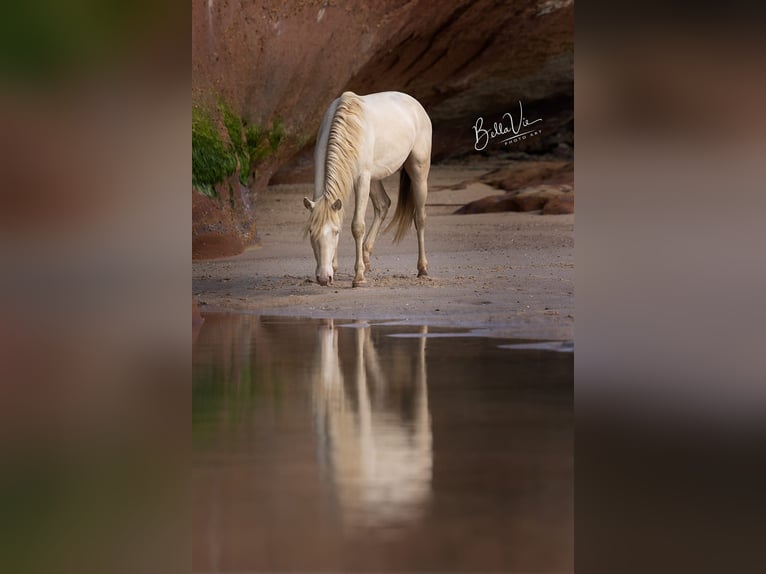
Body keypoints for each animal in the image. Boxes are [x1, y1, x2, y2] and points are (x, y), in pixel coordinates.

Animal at [303, 91, 432, 287]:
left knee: (420, 218)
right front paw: (335, 268)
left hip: (418, 170)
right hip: (375, 177)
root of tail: (415, 104)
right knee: (383, 204)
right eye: (311, 232)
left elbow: (357, 226)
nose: (324, 278)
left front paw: (359, 277)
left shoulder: (362, 179)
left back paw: (422, 268)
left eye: (336, 233)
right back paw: (366, 258)